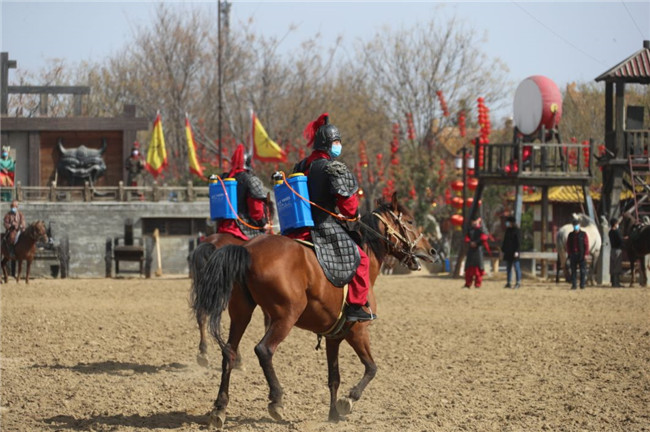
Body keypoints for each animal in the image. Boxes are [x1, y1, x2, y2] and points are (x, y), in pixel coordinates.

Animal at [192, 193, 437, 428]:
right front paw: (347, 400)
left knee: (229, 351)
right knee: (264, 350)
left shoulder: (333, 337)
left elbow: (334, 377)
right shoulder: (358, 332)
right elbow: (371, 368)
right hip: (285, 317)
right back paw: (276, 400)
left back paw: (220, 408)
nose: (433, 251)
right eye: (410, 221)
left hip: (241, 313)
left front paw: (333, 415)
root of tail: (248, 250)